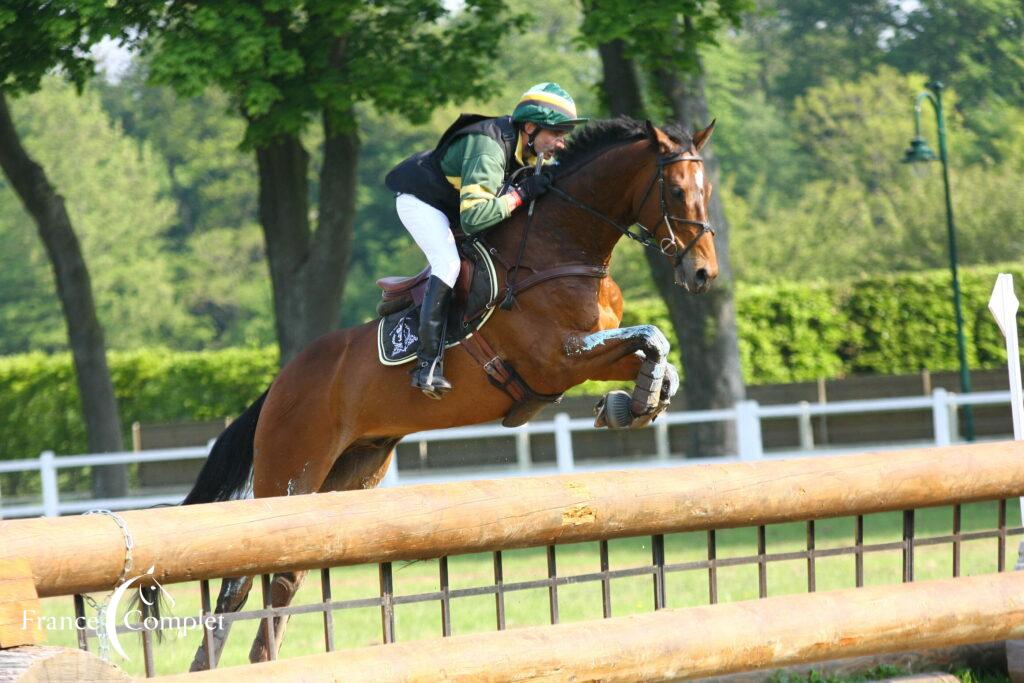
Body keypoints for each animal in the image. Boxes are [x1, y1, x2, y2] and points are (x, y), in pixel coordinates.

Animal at [182, 116, 720, 667]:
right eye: (677, 190)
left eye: (708, 190)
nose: (703, 273)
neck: (562, 248)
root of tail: (280, 383)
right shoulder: (559, 360)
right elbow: (653, 335)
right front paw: (634, 402)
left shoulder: (594, 354)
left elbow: (657, 354)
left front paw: (632, 403)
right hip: (290, 471)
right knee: (239, 581)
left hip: (348, 474)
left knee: (286, 577)